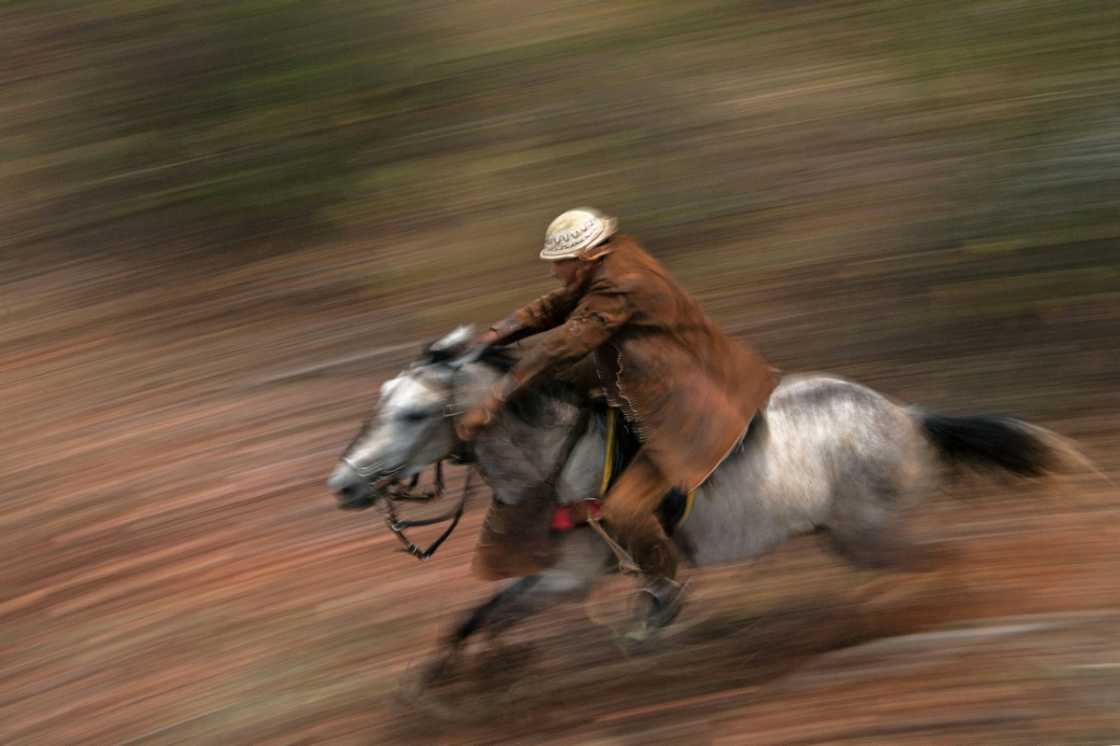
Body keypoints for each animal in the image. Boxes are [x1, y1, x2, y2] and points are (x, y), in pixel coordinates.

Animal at [327, 324, 1079, 667]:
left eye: (414, 415)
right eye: (381, 399)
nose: (343, 484)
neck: (559, 453)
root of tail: (906, 416)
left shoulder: (576, 575)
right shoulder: (562, 575)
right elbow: (481, 617)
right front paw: (446, 684)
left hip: (872, 533)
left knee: (942, 563)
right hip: (850, 536)